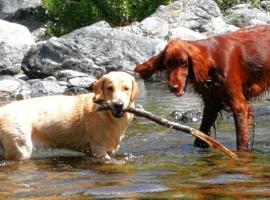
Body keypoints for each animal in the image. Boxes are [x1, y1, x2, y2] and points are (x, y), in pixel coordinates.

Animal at [0, 71, 137, 160]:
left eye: (126, 88)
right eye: (109, 88)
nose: (118, 105)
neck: (108, 115)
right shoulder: (99, 148)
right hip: (21, 147)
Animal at [136, 25, 270, 151]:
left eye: (183, 62)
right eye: (166, 64)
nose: (173, 87)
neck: (211, 62)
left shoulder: (239, 107)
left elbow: (242, 142)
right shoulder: (211, 105)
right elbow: (201, 136)